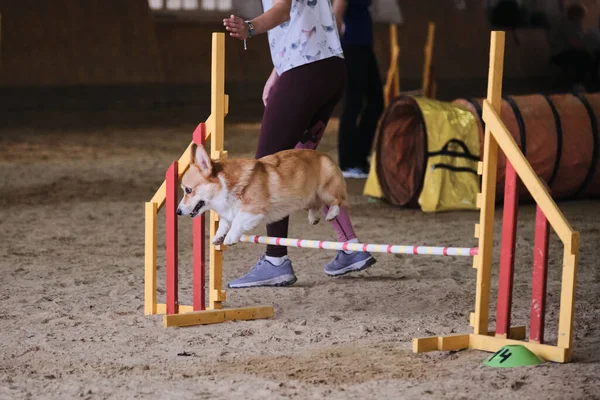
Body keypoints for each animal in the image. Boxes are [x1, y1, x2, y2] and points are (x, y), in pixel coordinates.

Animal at [176, 142, 350, 245]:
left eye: (188, 190)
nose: (177, 211)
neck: (225, 186)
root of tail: (324, 155)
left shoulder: (254, 209)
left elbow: (237, 220)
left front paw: (230, 237)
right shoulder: (228, 212)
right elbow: (225, 222)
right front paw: (218, 236)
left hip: (326, 189)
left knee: (337, 200)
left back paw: (332, 214)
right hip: (306, 198)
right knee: (315, 205)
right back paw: (313, 217)